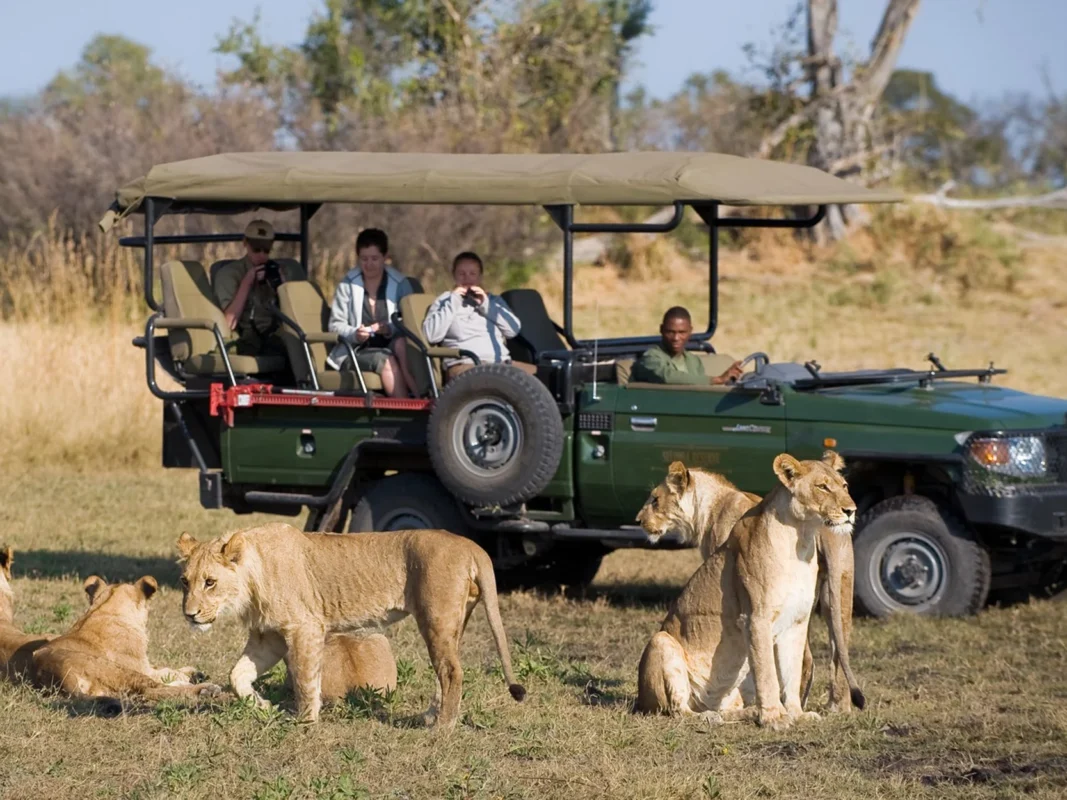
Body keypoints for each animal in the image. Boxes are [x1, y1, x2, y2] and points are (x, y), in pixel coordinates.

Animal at [32, 575, 222, 704]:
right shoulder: (141, 667)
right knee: (151, 690)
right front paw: (189, 675)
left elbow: (163, 668)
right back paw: (205, 689)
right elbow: (162, 673)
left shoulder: (145, 665)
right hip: (116, 669)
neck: (105, 608)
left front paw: (193, 672)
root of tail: (56, 675)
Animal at [176, 523, 525, 729]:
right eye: (184, 581)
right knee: (446, 670)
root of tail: (469, 545)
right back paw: (431, 716)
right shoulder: (269, 637)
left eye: (210, 582)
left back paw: (443, 727)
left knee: (452, 672)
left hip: (436, 618)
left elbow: (305, 679)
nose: (189, 614)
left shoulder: (305, 628)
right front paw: (262, 706)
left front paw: (304, 722)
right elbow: (237, 675)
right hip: (454, 621)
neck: (252, 579)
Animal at [635, 451, 856, 730]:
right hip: (661, 641)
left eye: (844, 486)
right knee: (678, 710)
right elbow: (768, 673)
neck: (802, 539)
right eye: (822, 487)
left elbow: (790, 673)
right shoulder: (755, 618)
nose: (851, 510)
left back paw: (746, 713)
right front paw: (775, 718)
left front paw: (795, 713)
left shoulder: (796, 622)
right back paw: (711, 717)